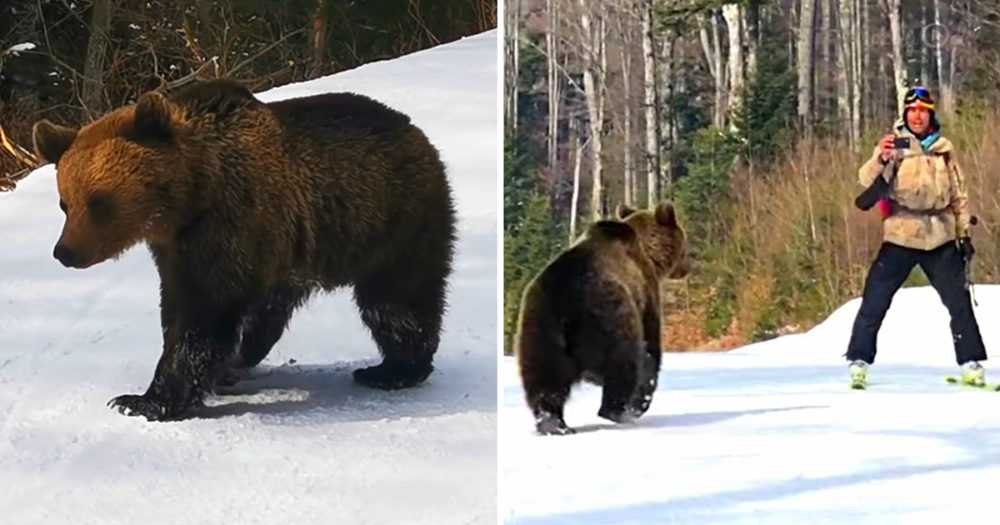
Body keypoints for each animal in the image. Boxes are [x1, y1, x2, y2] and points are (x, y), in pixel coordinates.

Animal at [31, 79, 456, 421]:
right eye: (65, 202)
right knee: (270, 312)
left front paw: (145, 400)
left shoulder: (229, 227)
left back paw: (394, 370)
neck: (193, 196)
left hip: (393, 222)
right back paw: (239, 363)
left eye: (99, 201)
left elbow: (202, 316)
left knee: (396, 301)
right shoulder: (177, 250)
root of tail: (413, 129)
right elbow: (178, 308)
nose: (65, 251)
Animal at [513, 202, 690, 435]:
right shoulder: (645, 292)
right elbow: (651, 346)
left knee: (544, 380)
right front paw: (641, 399)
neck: (649, 254)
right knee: (623, 362)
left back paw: (555, 424)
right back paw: (621, 411)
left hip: (538, 328)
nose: (688, 267)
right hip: (608, 317)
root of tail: (565, 303)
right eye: (684, 244)